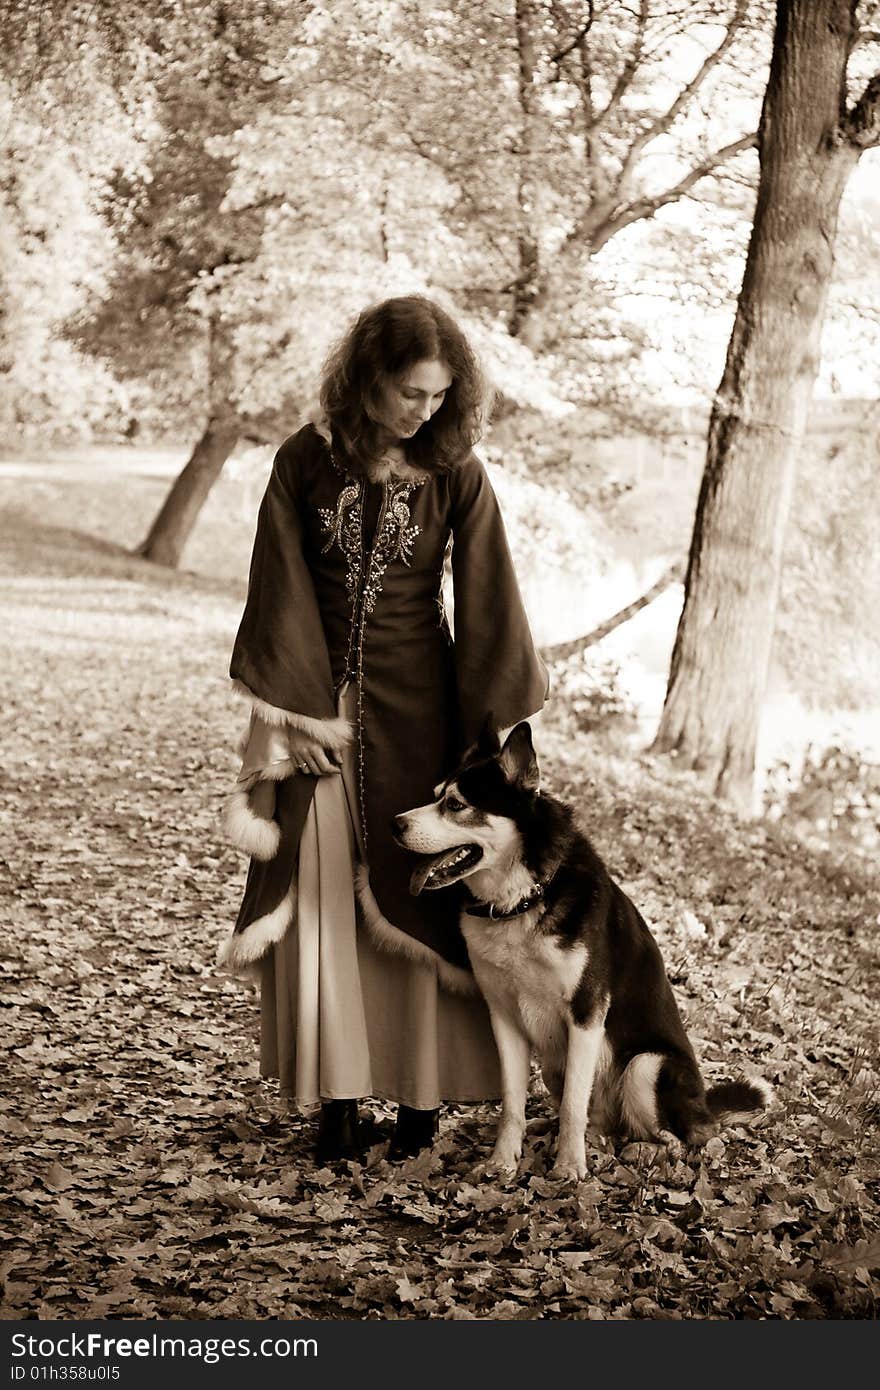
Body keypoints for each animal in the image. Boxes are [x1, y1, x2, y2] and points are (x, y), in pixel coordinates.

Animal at [392, 722, 767, 1178]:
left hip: (646, 1066)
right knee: (603, 1124)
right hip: (558, 1066)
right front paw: (503, 1161)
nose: (394, 825)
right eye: (435, 795)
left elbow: (574, 1104)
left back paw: (644, 1151)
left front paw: (569, 1167)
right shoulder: (504, 1017)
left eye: (455, 804)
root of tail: (705, 1107)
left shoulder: (586, 1015)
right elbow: (512, 1104)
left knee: (677, 1139)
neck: (525, 898)